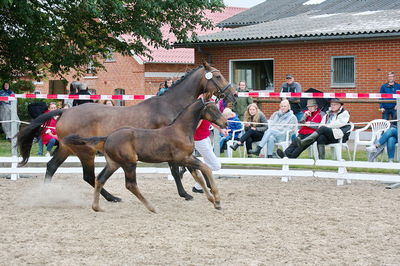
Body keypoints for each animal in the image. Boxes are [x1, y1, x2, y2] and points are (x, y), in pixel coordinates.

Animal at [17, 62, 234, 202]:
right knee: (88, 176)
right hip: (85, 152)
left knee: (52, 167)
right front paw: (185, 194)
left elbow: (187, 168)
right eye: (217, 76)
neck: (170, 106)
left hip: (66, 148)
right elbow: (175, 171)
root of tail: (66, 110)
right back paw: (111, 198)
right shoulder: (169, 148)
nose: (232, 95)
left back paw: (47, 194)